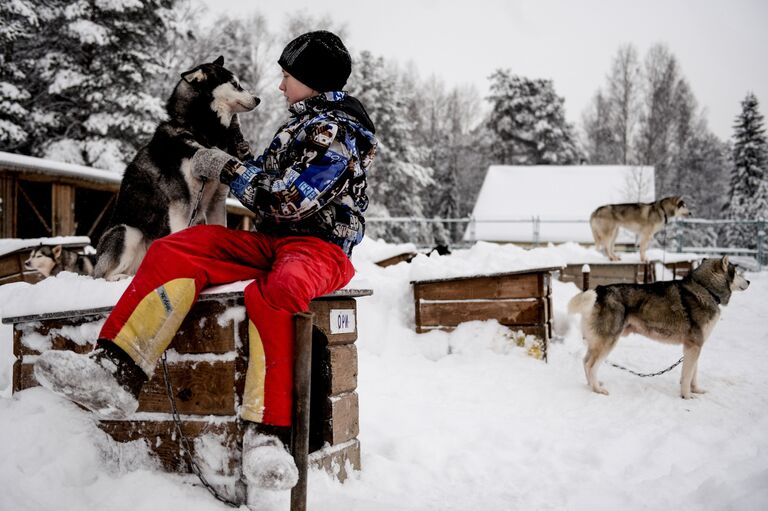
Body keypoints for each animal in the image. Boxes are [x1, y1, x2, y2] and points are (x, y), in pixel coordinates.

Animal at [93, 57, 260, 280]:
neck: (201, 133)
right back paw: (119, 277)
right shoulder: (180, 204)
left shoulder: (216, 200)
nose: (258, 99)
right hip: (127, 231)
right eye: (235, 84)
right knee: (100, 275)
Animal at [568, 258, 752, 398]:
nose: (749, 281)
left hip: (597, 343)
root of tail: (600, 290)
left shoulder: (695, 346)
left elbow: (693, 374)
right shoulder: (694, 346)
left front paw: (696, 390)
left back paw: (591, 385)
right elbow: (687, 376)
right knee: (591, 365)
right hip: (608, 342)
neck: (705, 288)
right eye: (737, 272)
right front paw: (687, 396)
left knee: (585, 362)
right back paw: (598, 390)